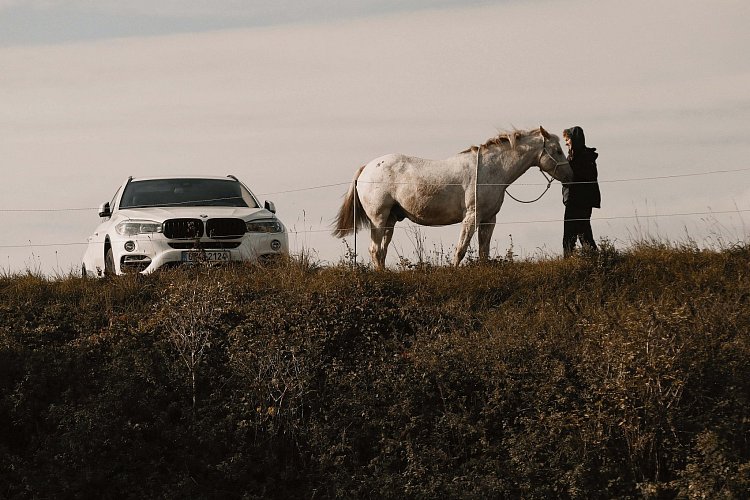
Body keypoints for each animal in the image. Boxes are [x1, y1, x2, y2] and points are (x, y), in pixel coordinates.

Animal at [332, 127, 572, 272]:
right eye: (557, 150)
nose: (570, 175)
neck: (492, 169)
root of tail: (367, 168)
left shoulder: (489, 219)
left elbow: (483, 250)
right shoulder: (472, 216)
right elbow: (461, 248)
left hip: (390, 220)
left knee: (381, 251)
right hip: (379, 219)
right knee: (375, 250)